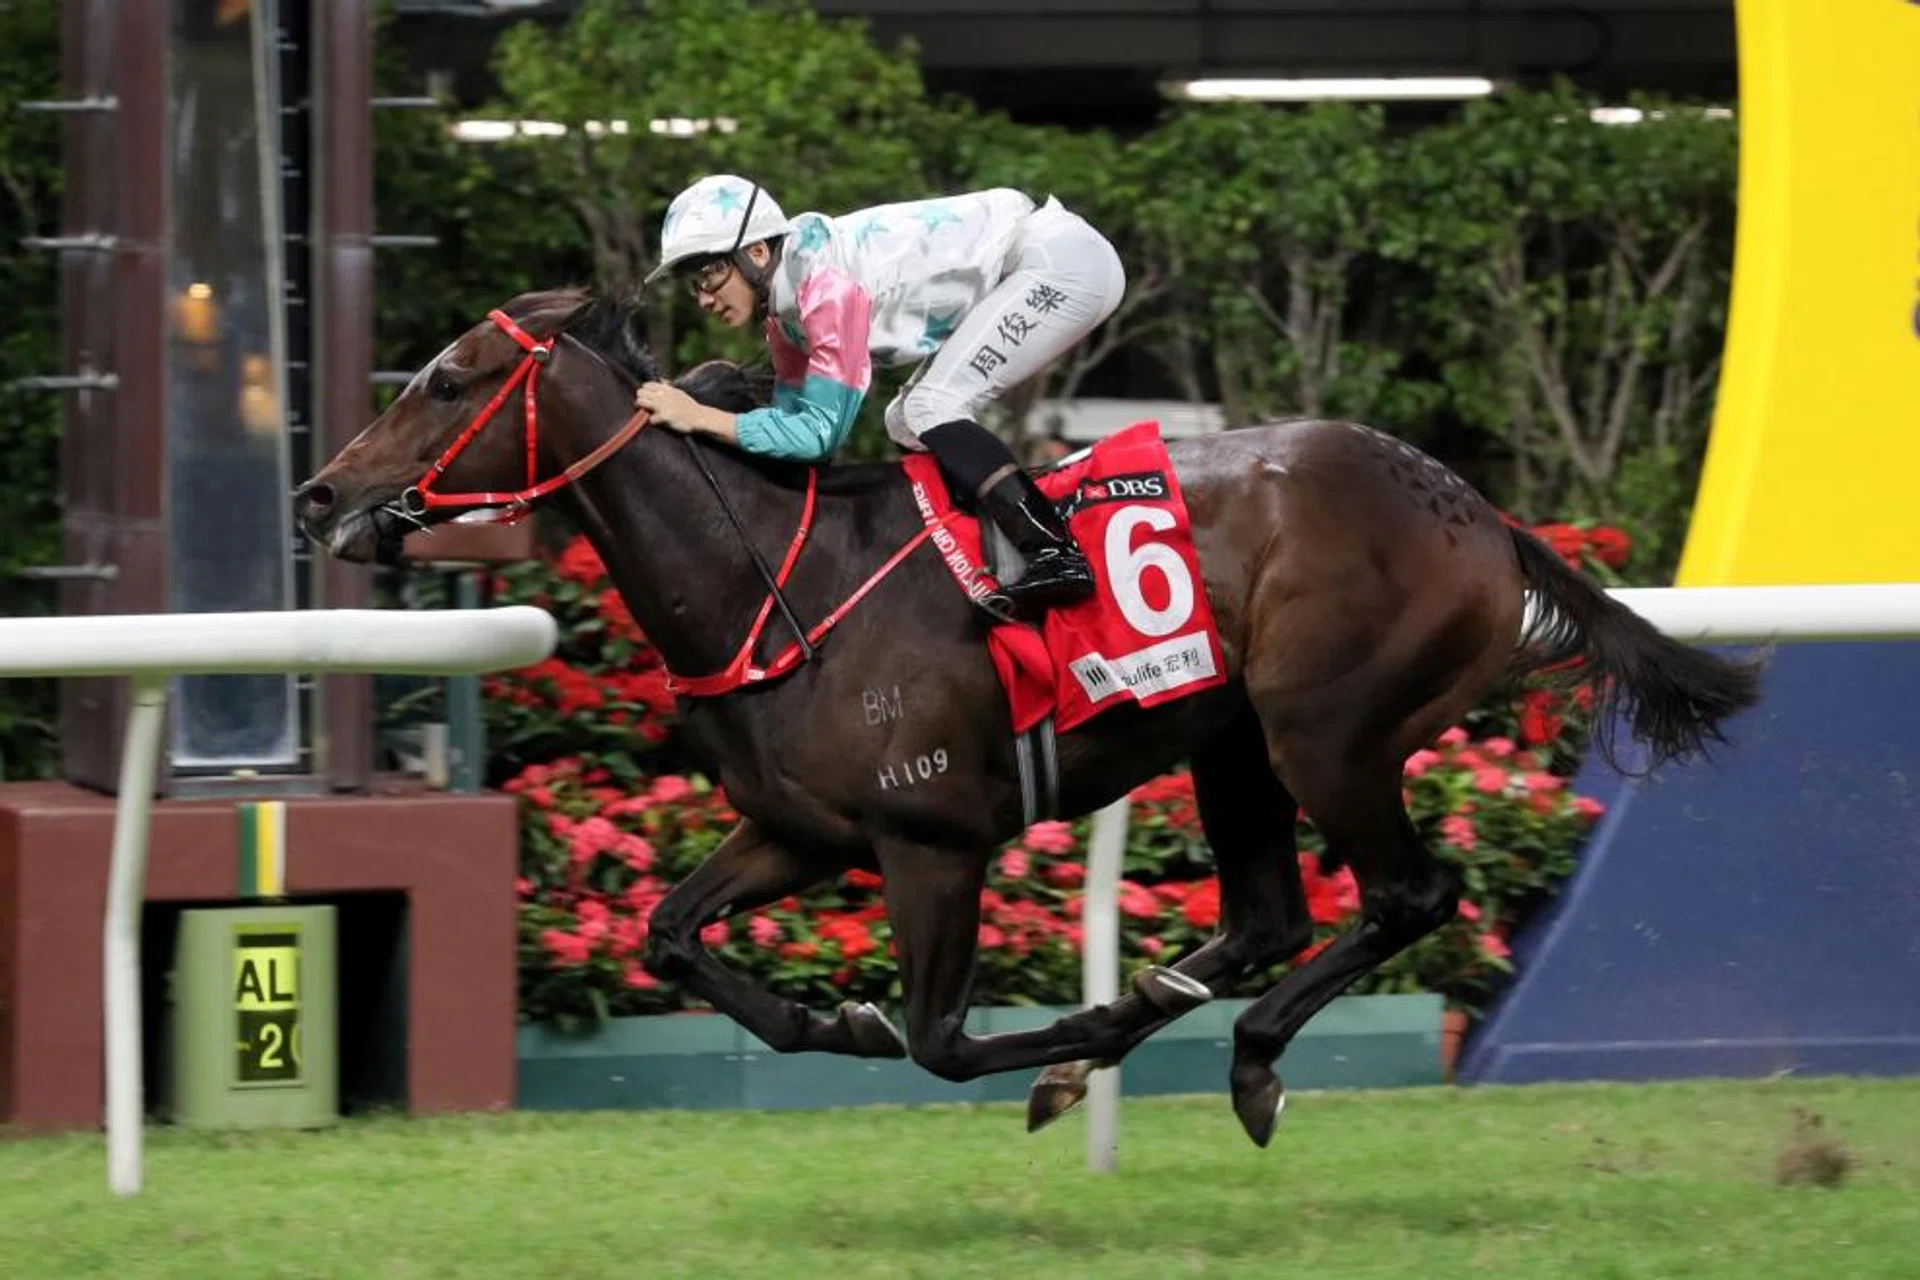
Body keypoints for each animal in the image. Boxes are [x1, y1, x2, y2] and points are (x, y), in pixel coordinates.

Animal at [295, 288, 1763, 1146]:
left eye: (449, 377)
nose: (319, 495)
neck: (777, 585)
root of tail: (1479, 510)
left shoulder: (934, 839)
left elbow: (942, 1042)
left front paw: (1035, 1050)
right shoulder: (804, 831)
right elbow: (668, 935)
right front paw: (834, 1021)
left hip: (1328, 730)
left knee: (1408, 896)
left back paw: (1242, 1059)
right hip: (1235, 741)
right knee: (1267, 917)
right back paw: (1175, 1021)